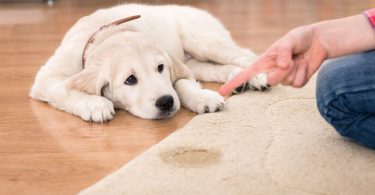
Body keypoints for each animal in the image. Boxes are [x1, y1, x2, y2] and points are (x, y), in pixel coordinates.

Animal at [30, 3, 268, 122]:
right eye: (130, 80)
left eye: (160, 68)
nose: (166, 102)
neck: (107, 33)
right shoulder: (46, 77)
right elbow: (64, 89)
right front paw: (94, 104)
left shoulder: (176, 68)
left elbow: (181, 84)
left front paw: (202, 97)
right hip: (195, 61)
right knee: (215, 68)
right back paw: (238, 79)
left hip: (204, 41)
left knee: (244, 54)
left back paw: (257, 76)